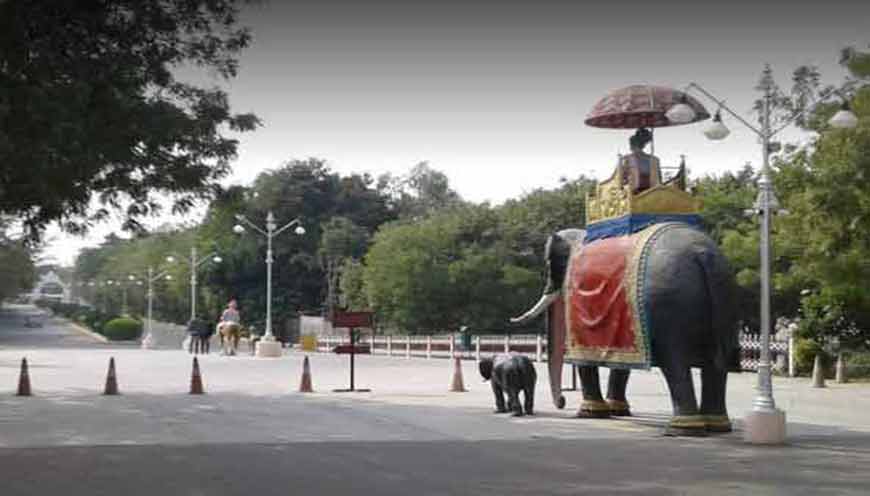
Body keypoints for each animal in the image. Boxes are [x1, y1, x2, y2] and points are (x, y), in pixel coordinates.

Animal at [510, 223, 744, 436]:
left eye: (549, 265)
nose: (562, 401)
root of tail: (702, 254)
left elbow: (584, 357)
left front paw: (590, 413)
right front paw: (617, 411)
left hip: (670, 306)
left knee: (675, 362)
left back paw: (682, 429)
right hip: (726, 302)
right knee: (715, 365)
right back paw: (717, 426)